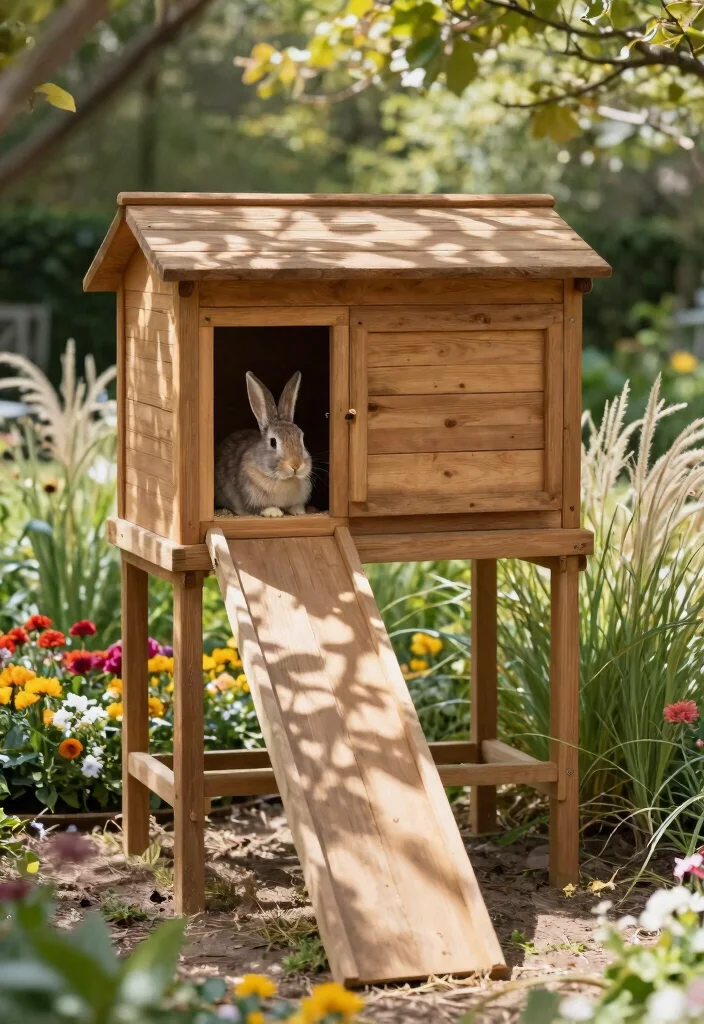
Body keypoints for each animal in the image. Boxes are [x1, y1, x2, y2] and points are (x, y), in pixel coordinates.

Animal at [214, 370, 312, 518]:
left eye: (301, 438)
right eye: (273, 442)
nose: (296, 465)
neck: (281, 479)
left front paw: (299, 511)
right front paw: (274, 512)